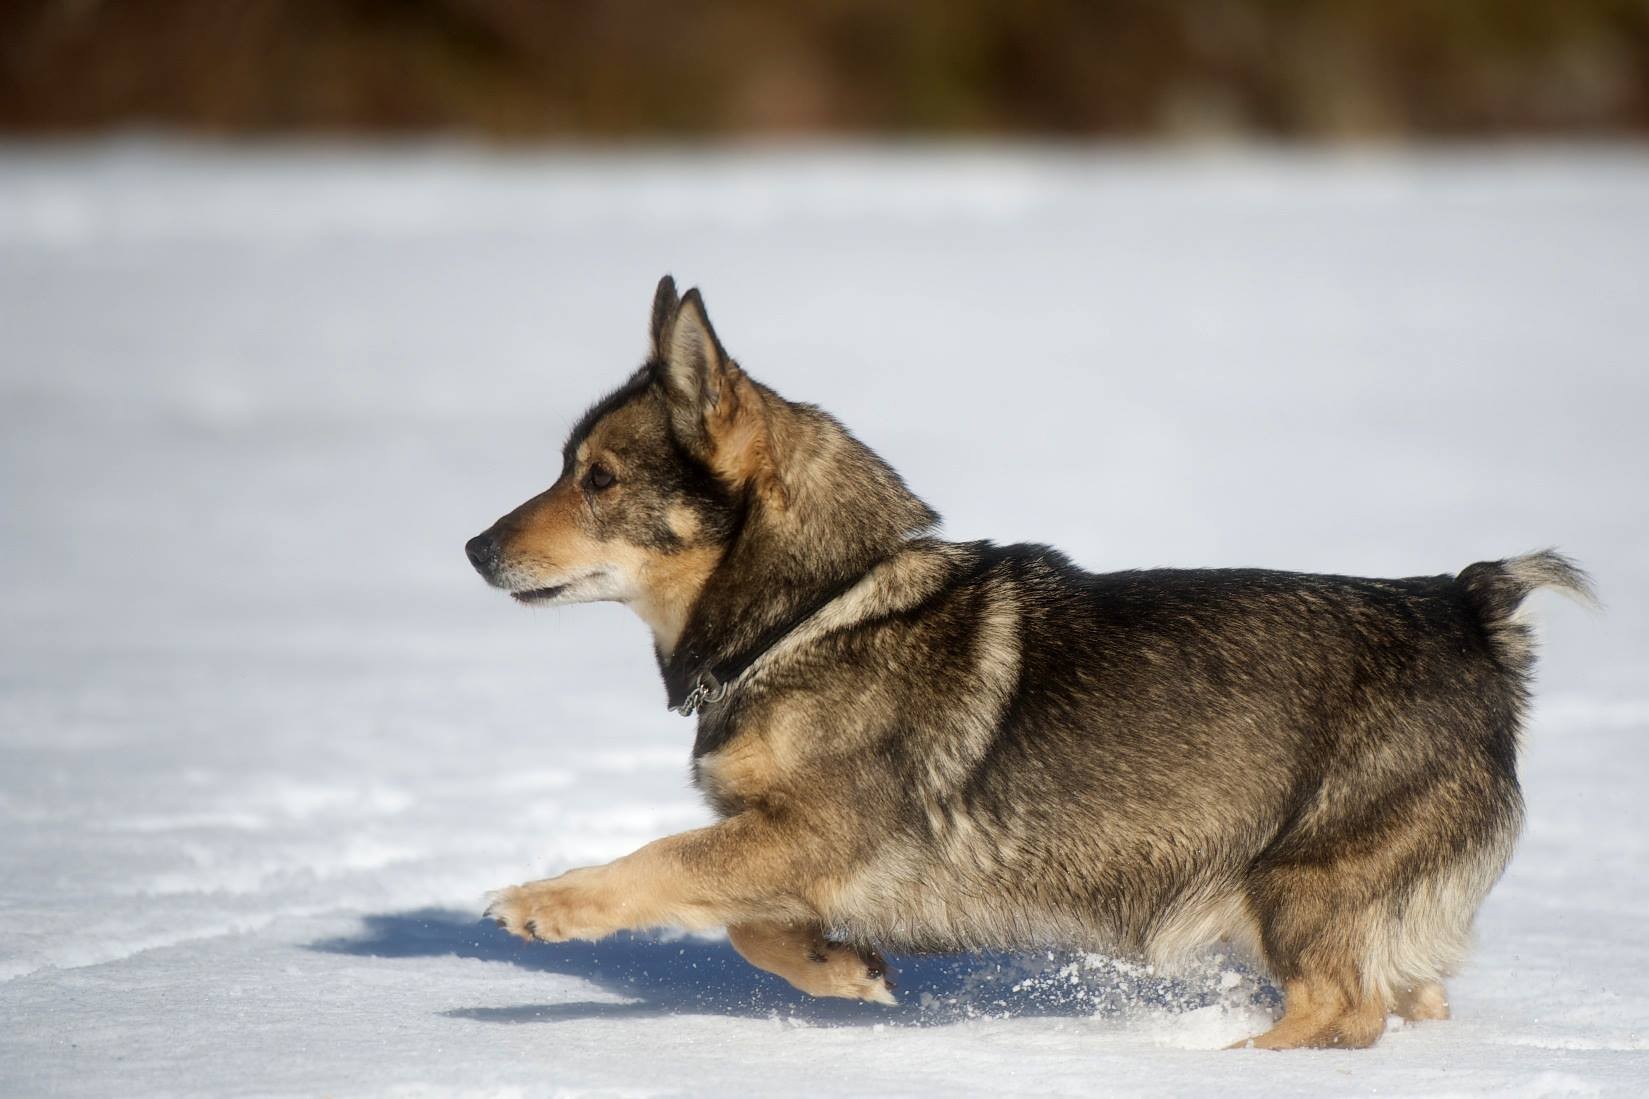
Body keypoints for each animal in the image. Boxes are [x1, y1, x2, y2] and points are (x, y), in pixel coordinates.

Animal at [461, 273, 1583, 1042]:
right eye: (568, 468)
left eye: (598, 478)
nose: (472, 548)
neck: (815, 607)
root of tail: (1464, 607)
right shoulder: (789, 849)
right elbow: (753, 930)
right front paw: (845, 969)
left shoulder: (814, 831)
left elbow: (655, 861)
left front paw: (542, 902)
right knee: (1398, 1000)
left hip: (1298, 886)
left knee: (1339, 1013)